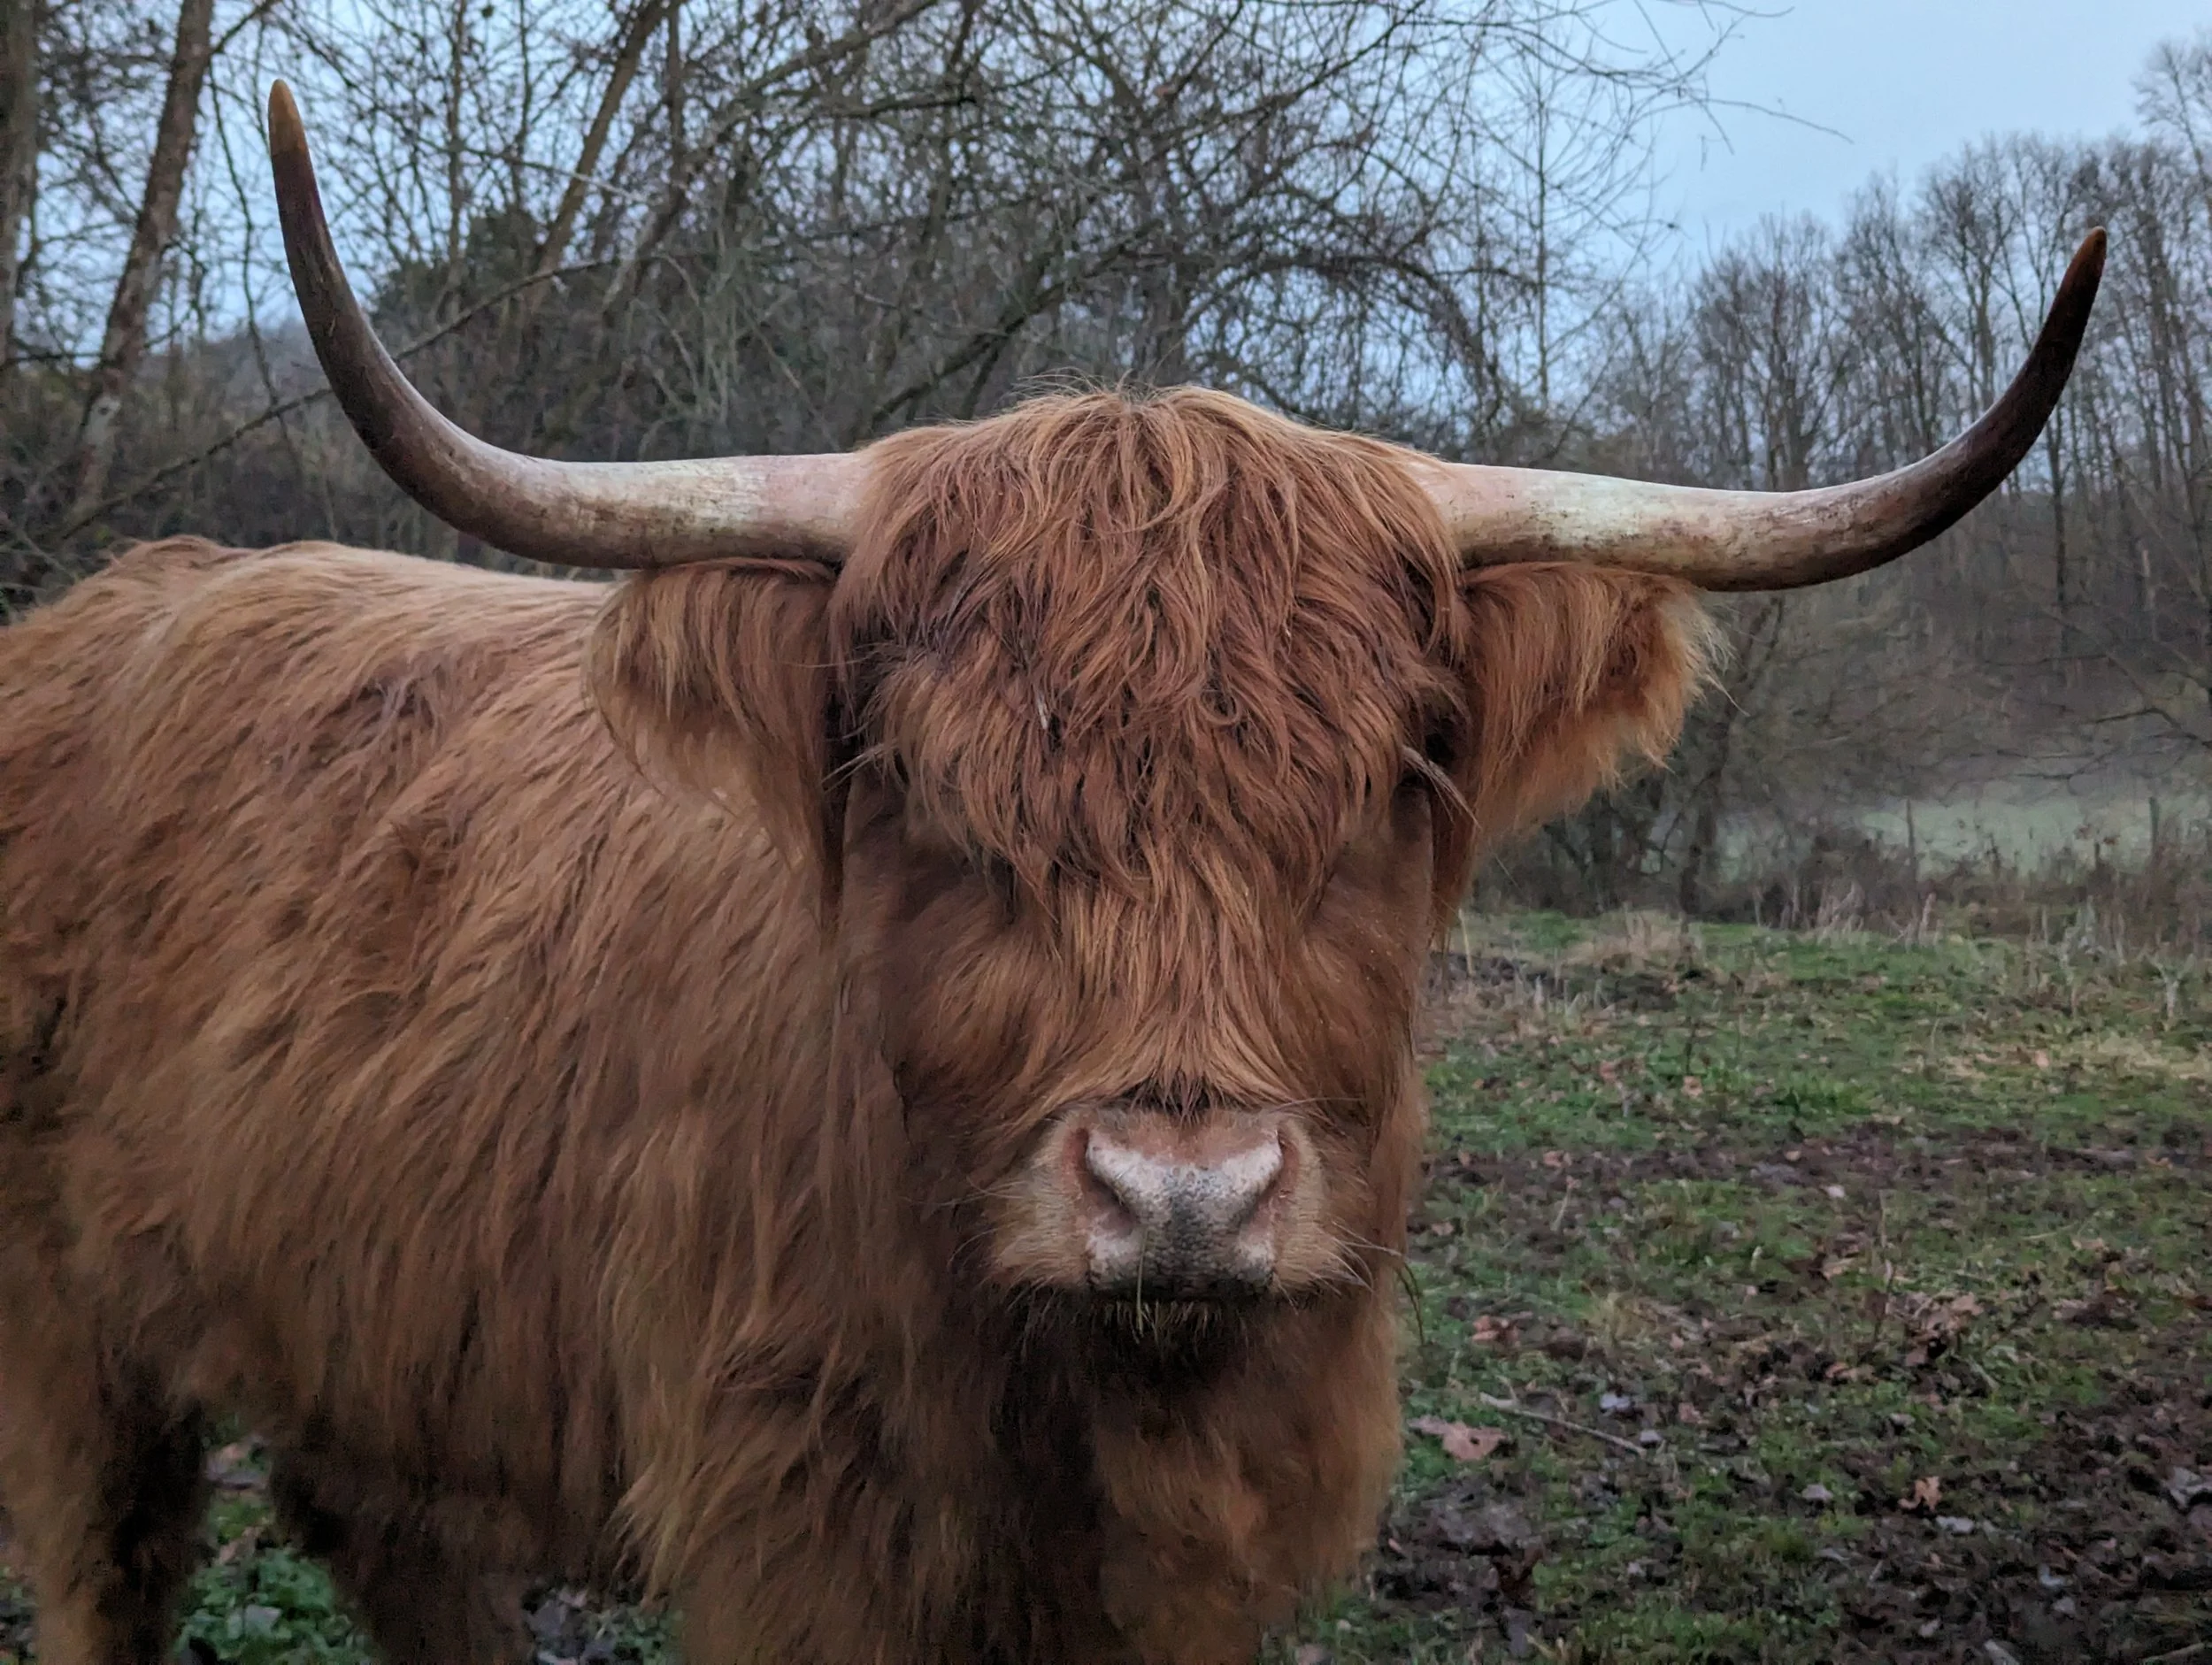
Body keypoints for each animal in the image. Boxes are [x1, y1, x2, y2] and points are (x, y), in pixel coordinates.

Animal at [0, 81, 2104, 1665]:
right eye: (935, 800)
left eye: (1385, 786)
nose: (1183, 1197)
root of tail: (115, 596)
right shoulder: (795, 1531)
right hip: (78, 1342)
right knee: (113, 1570)